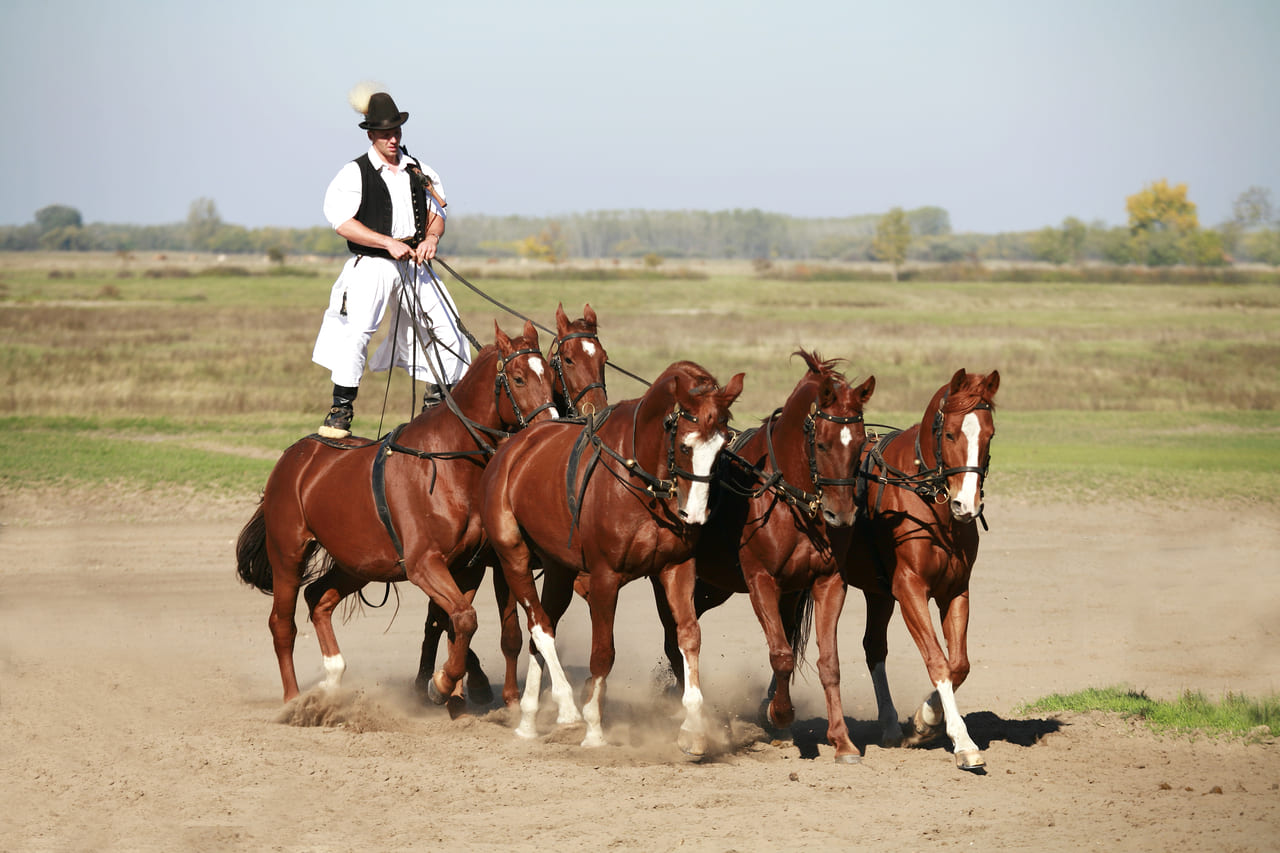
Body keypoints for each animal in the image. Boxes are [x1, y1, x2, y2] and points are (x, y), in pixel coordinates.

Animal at [235, 320, 558, 704]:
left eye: (550, 374)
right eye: (519, 378)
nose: (552, 425)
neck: (447, 460)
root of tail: (295, 455)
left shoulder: (467, 567)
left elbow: (458, 621)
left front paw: (448, 683)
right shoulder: (424, 563)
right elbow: (462, 619)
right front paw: (443, 683)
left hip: (358, 563)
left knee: (318, 598)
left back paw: (332, 679)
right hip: (287, 552)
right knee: (282, 624)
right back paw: (294, 699)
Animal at [413, 303, 610, 708]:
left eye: (603, 359)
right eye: (567, 359)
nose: (595, 412)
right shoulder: (503, 563)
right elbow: (512, 633)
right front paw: (511, 697)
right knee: (441, 616)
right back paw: (445, 679)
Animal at [480, 361, 744, 753]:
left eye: (722, 446)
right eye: (684, 446)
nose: (694, 515)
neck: (642, 481)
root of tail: (511, 449)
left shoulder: (676, 568)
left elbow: (688, 636)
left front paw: (694, 728)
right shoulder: (605, 577)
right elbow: (603, 653)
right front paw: (593, 728)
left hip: (559, 569)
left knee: (542, 628)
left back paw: (528, 719)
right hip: (514, 557)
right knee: (540, 626)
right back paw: (566, 706)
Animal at [651, 350, 875, 763]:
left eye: (859, 444)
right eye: (822, 444)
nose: (842, 515)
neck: (790, 498)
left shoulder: (827, 582)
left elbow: (829, 662)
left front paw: (842, 740)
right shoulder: (761, 582)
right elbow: (781, 655)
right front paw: (780, 714)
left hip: (719, 589)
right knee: (674, 639)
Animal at [837, 368, 999, 771]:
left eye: (989, 434)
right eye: (950, 434)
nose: (966, 504)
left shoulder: (955, 590)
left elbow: (959, 664)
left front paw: (925, 720)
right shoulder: (910, 588)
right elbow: (937, 661)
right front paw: (963, 742)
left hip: (878, 593)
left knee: (873, 646)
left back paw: (891, 725)